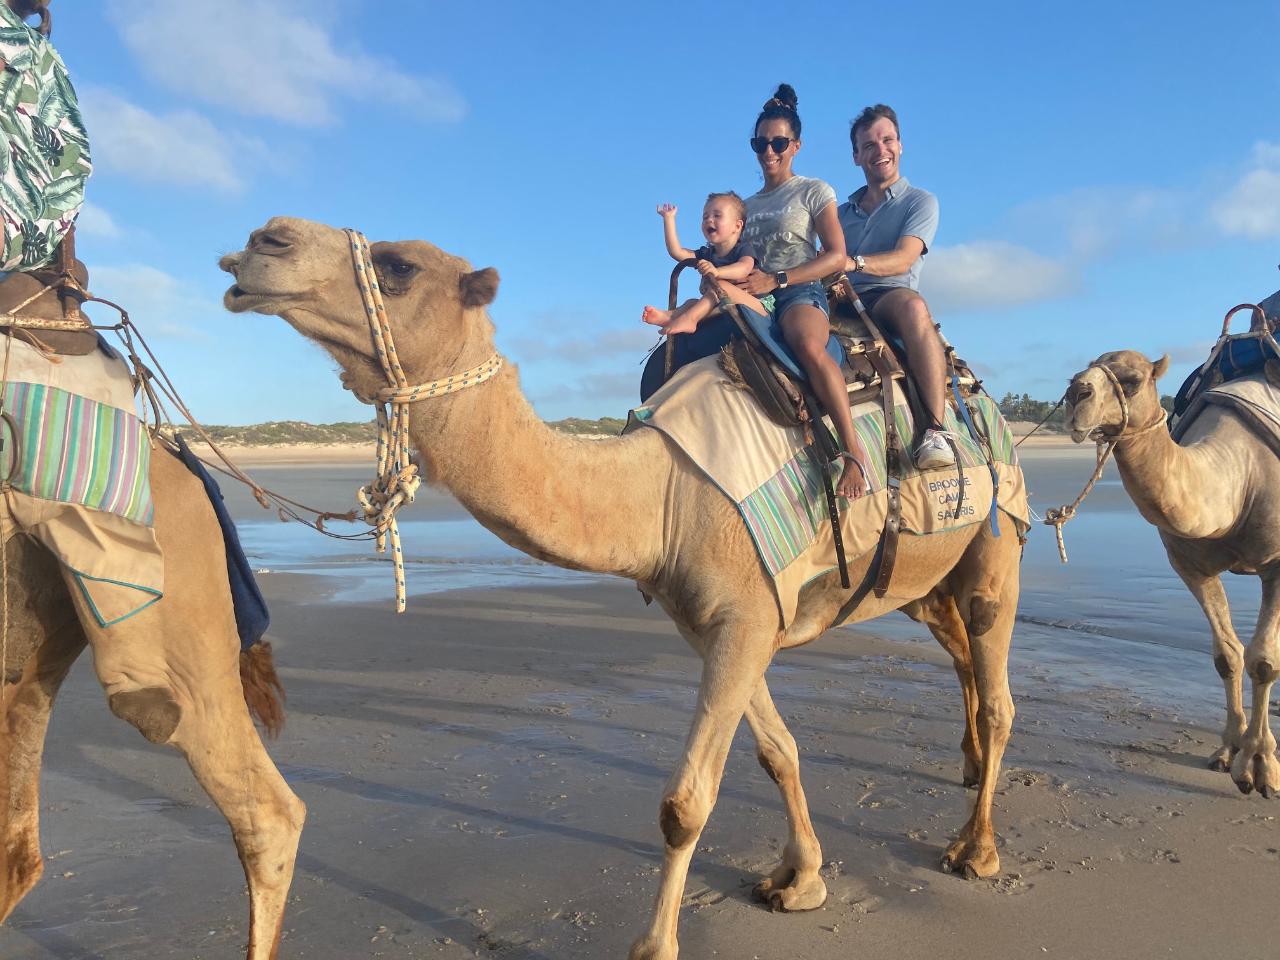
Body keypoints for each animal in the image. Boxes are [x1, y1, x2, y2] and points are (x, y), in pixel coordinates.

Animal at [217, 217, 1018, 960]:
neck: (661, 493)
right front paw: (802, 881)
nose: (263, 241)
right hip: (923, 579)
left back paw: (975, 848)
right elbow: (777, 751)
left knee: (997, 684)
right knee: (959, 654)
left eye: (400, 266)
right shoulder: (730, 622)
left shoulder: (744, 620)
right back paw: (965, 768)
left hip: (995, 537)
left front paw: (655, 945)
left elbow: (684, 804)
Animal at [1064, 350, 1280, 798]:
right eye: (1079, 371)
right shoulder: (1189, 565)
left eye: (1131, 380)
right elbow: (1228, 655)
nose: (1075, 393)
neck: (1242, 477)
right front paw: (1229, 750)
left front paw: (1260, 768)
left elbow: (1265, 661)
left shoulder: (1277, 563)